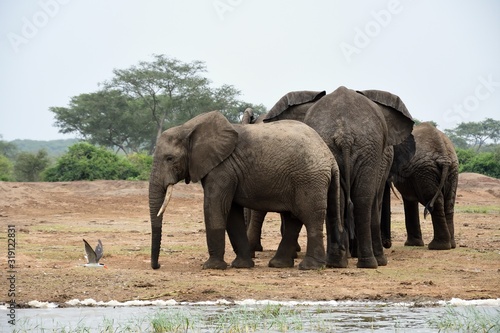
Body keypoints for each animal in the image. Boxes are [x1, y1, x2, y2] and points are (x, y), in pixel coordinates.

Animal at [148, 110, 344, 268]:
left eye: (169, 158)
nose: (158, 266)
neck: (187, 128)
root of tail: (330, 158)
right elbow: (231, 212)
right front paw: (241, 265)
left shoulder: (223, 168)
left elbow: (215, 207)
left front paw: (212, 267)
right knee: (293, 219)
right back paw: (279, 264)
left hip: (309, 179)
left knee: (310, 217)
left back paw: (310, 267)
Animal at [262, 85, 414, 268]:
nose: (388, 243)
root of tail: (344, 134)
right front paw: (380, 261)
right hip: (367, 149)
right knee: (363, 199)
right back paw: (366, 262)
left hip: (354, 148)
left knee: (348, 199)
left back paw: (340, 262)